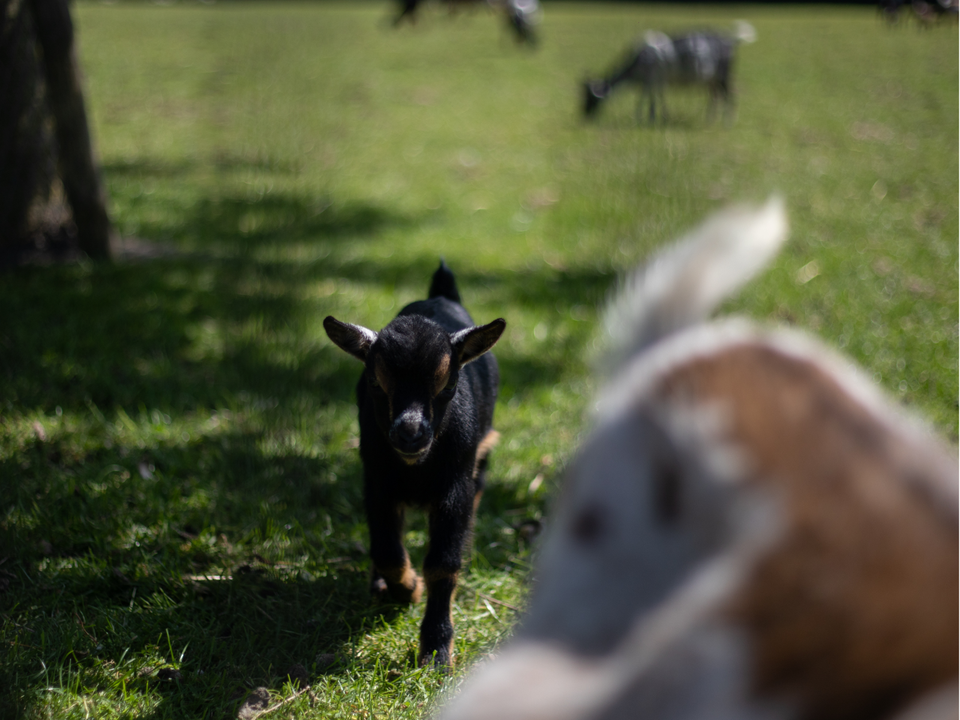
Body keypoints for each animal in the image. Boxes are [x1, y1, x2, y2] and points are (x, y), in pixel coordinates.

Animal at [324, 261, 505, 667]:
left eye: (448, 385)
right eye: (375, 384)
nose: (410, 435)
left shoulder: (454, 489)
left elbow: (442, 563)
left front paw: (437, 651)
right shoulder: (377, 483)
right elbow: (388, 552)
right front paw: (407, 588)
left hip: (482, 455)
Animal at [583, 22, 756, 124]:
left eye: (589, 98)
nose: (584, 116)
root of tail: (731, 40)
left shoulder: (652, 79)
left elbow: (648, 97)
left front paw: (645, 118)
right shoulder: (657, 80)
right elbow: (657, 97)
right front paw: (656, 117)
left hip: (723, 76)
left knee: (729, 95)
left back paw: (727, 123)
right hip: (711, 80)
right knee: (716, 97)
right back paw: (710, 121)